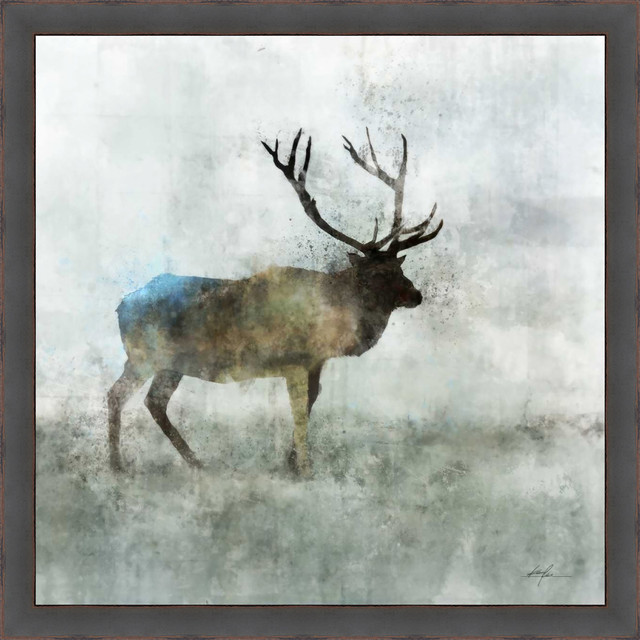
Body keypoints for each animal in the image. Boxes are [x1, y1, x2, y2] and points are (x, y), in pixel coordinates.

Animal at [107, 128, 444, 477]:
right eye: (377, 273)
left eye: (400, 268)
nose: (416, 295)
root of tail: (120, 305)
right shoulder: (293, 359)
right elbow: (298, 411)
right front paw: (305, 470)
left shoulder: (315, 362)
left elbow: (309, 403)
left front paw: (291, 462)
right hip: (143, 355)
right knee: (117, 394)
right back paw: (117, 464)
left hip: (170, 363)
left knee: (153, 402)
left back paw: (195, 461)